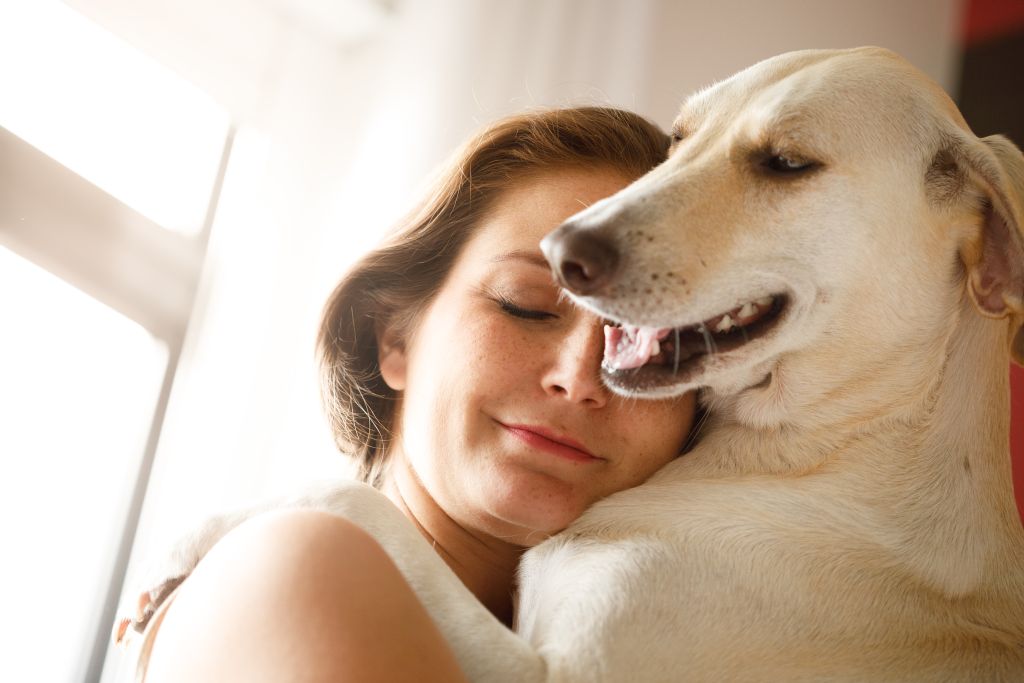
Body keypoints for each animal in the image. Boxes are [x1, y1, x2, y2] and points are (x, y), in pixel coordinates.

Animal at [117, 45, 1024, 679]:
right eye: (678, 141)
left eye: (788, 162)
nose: (563, 252)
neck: (835, 450)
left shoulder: (542, 670)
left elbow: (363, 505)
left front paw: (194, 534)